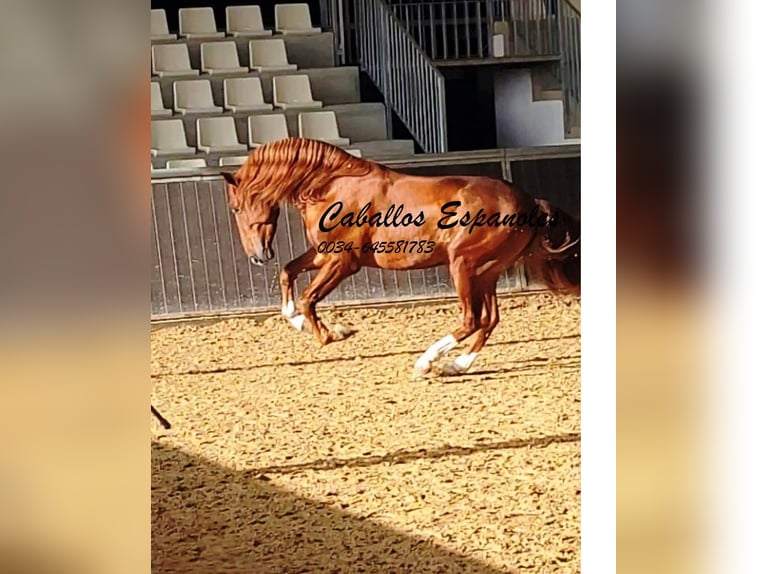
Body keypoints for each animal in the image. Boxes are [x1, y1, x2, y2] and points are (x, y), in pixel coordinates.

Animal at [222, 139, 584, 378]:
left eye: (236, 208)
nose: (258, 257)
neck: (331, 187)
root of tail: (529, 202)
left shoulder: (343, 262)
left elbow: (309, 298)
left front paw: (333, 334)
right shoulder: (325, 254)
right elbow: (287, 274)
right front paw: (300, 322)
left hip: (464, 266)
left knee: (472, 319)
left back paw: (426, 362)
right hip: (486, 272)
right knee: (489, 320)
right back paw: (456, 365)